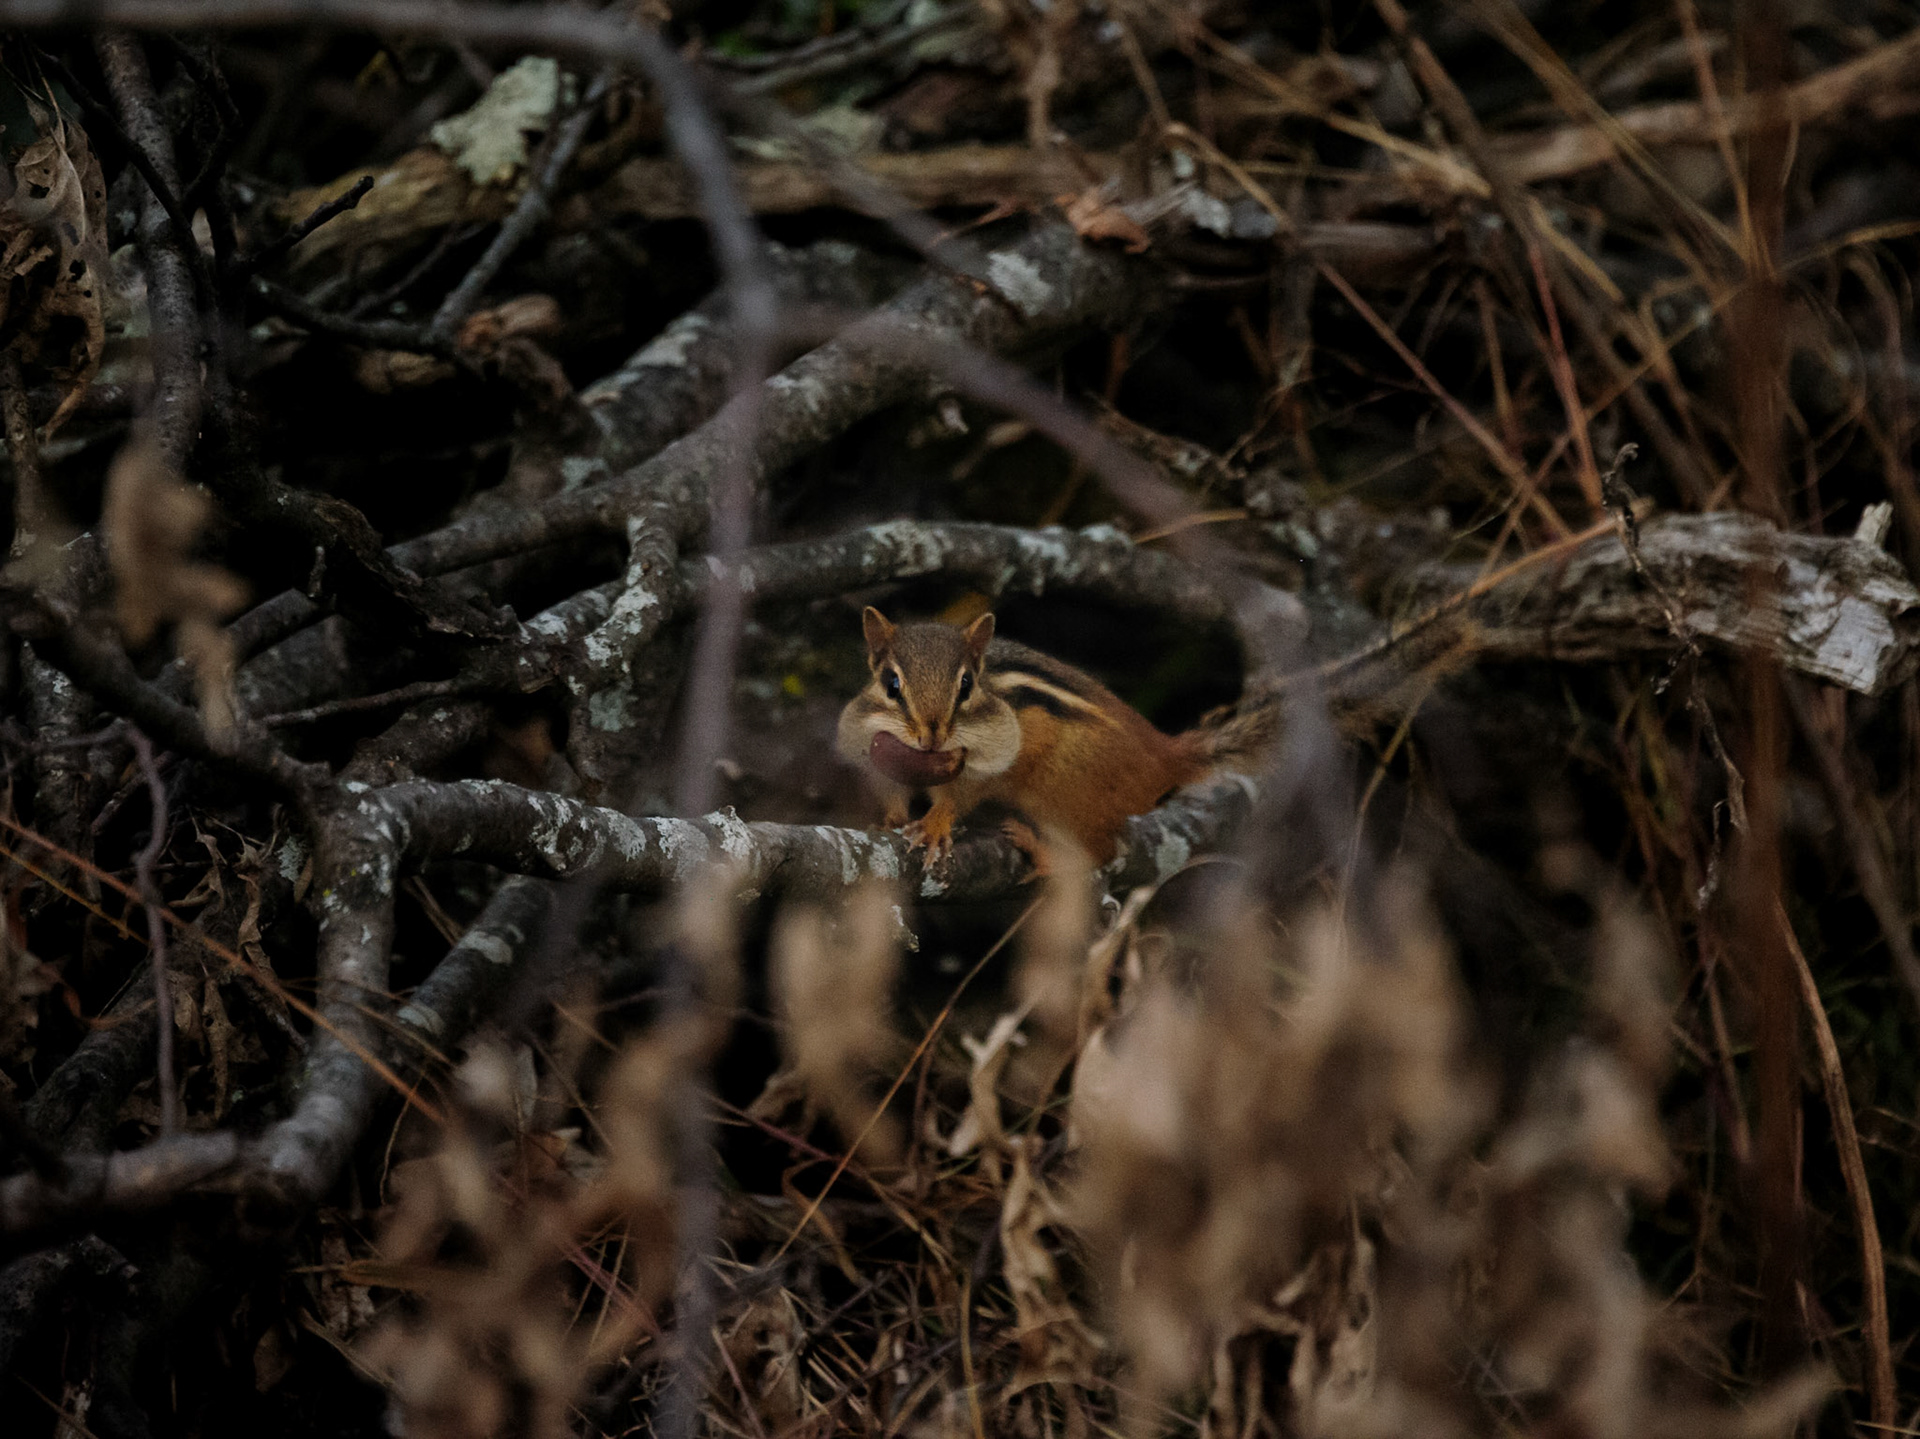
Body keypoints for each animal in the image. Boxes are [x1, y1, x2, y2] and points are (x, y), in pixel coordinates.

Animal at [836, 606, 1275, 866]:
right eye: (891, 683)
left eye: (966, 685)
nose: (932, 737)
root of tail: (1165, 751)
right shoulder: (872, 758)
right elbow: (891, 794)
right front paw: (889, 822)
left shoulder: (986, 766)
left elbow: (958, 797)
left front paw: (934, 825)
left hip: (1066, 795)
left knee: (1099, 854)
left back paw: (1041, 854)